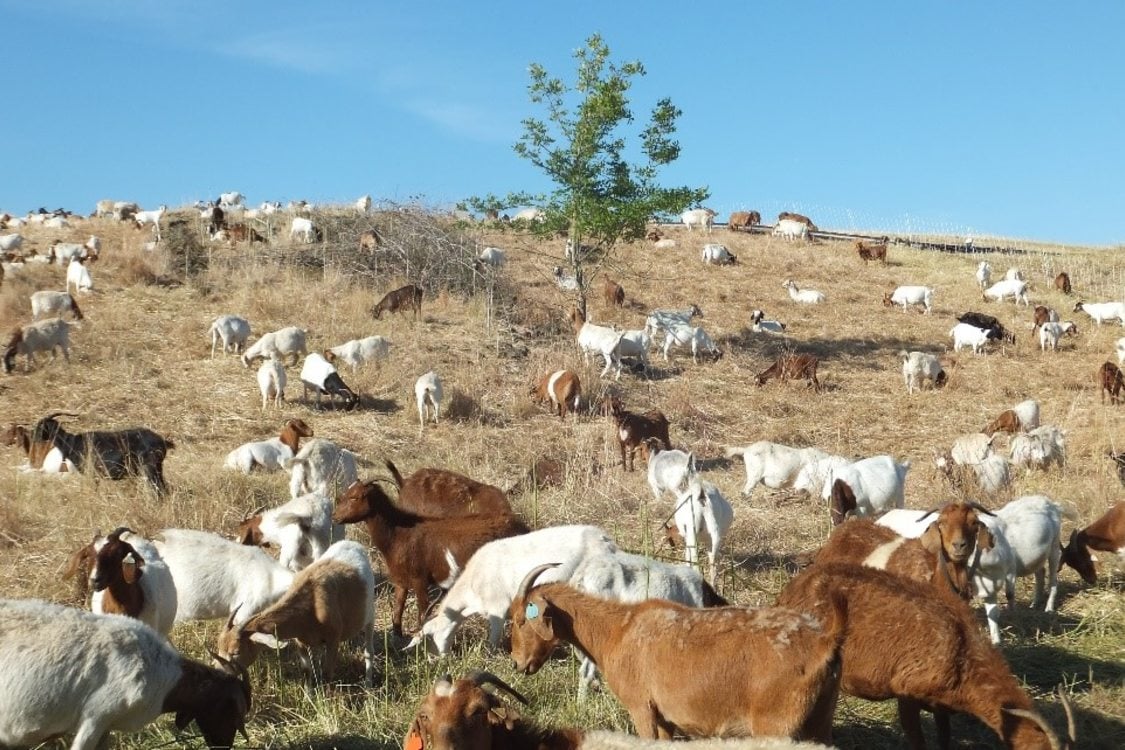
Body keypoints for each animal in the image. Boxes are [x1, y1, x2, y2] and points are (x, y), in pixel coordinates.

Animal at [330, 483, 528, 638]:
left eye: (355, 497)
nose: (334, 517)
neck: (399, 534)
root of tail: (522, 526)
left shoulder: (420, 579)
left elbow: (422, 611)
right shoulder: (400, 579)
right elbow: (397, 611)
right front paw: (397, 638)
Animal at [510, 568, 846, 746]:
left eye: (520, 619)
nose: (517, 663)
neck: (617, 630)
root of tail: (825, 640)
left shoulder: (640, 707)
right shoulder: (664, 717)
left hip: (776, 725)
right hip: (821, 719)